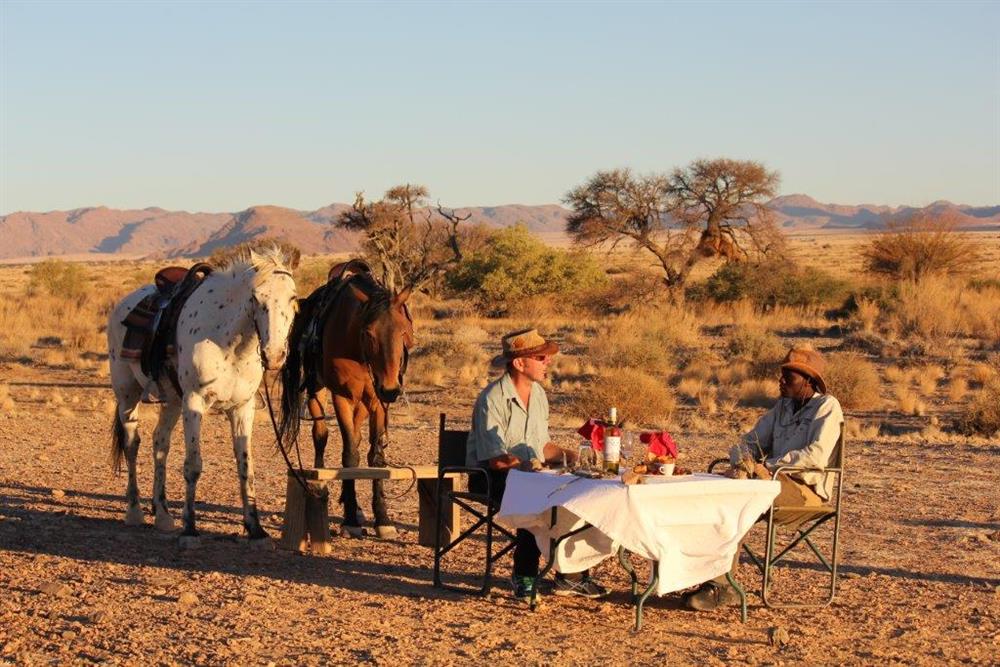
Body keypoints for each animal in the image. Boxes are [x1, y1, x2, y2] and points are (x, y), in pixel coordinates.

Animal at [109, 245, 298, 548]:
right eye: (256, 298)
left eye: (293, 298)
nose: (275, 355)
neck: (230, 343)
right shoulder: (194, 401)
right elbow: (193, 466)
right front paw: (190, 528)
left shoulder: (242, 408)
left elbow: (246, 466)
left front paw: (255, 529)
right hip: (128, 393)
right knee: (131, 444)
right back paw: (135, 511)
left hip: (172, 401)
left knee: (159, 443)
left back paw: (162, 514)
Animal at [278, 260, 414, 536]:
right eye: (369, 333)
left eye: (404, 331)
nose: (391, 389)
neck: (358, 351)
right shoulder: (341, 397)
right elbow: (350, 455)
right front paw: (351, 518)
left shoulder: (378, 402)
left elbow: (375, 457)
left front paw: (382, 519)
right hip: (317, 389)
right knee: (320, 436)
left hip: (364, 402)